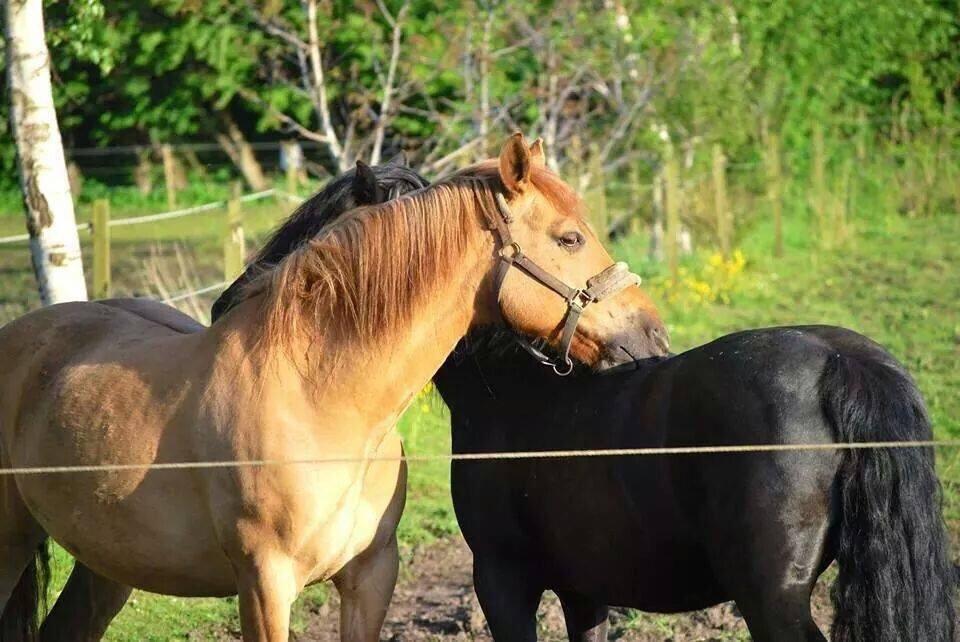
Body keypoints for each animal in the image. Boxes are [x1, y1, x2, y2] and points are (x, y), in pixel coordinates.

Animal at [0, 132, 668, 636]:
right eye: (570, 238)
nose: (653, 336)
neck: (320, 401)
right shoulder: (264, 586)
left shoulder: (370, 577)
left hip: (105, 565)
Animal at [216, 152, 952, 636]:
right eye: (570, 236)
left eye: (316, 234)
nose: (228, 304)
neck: (516, 397)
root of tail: (841, 361)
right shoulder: (583, 592)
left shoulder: (504, 580)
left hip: (772, 600)